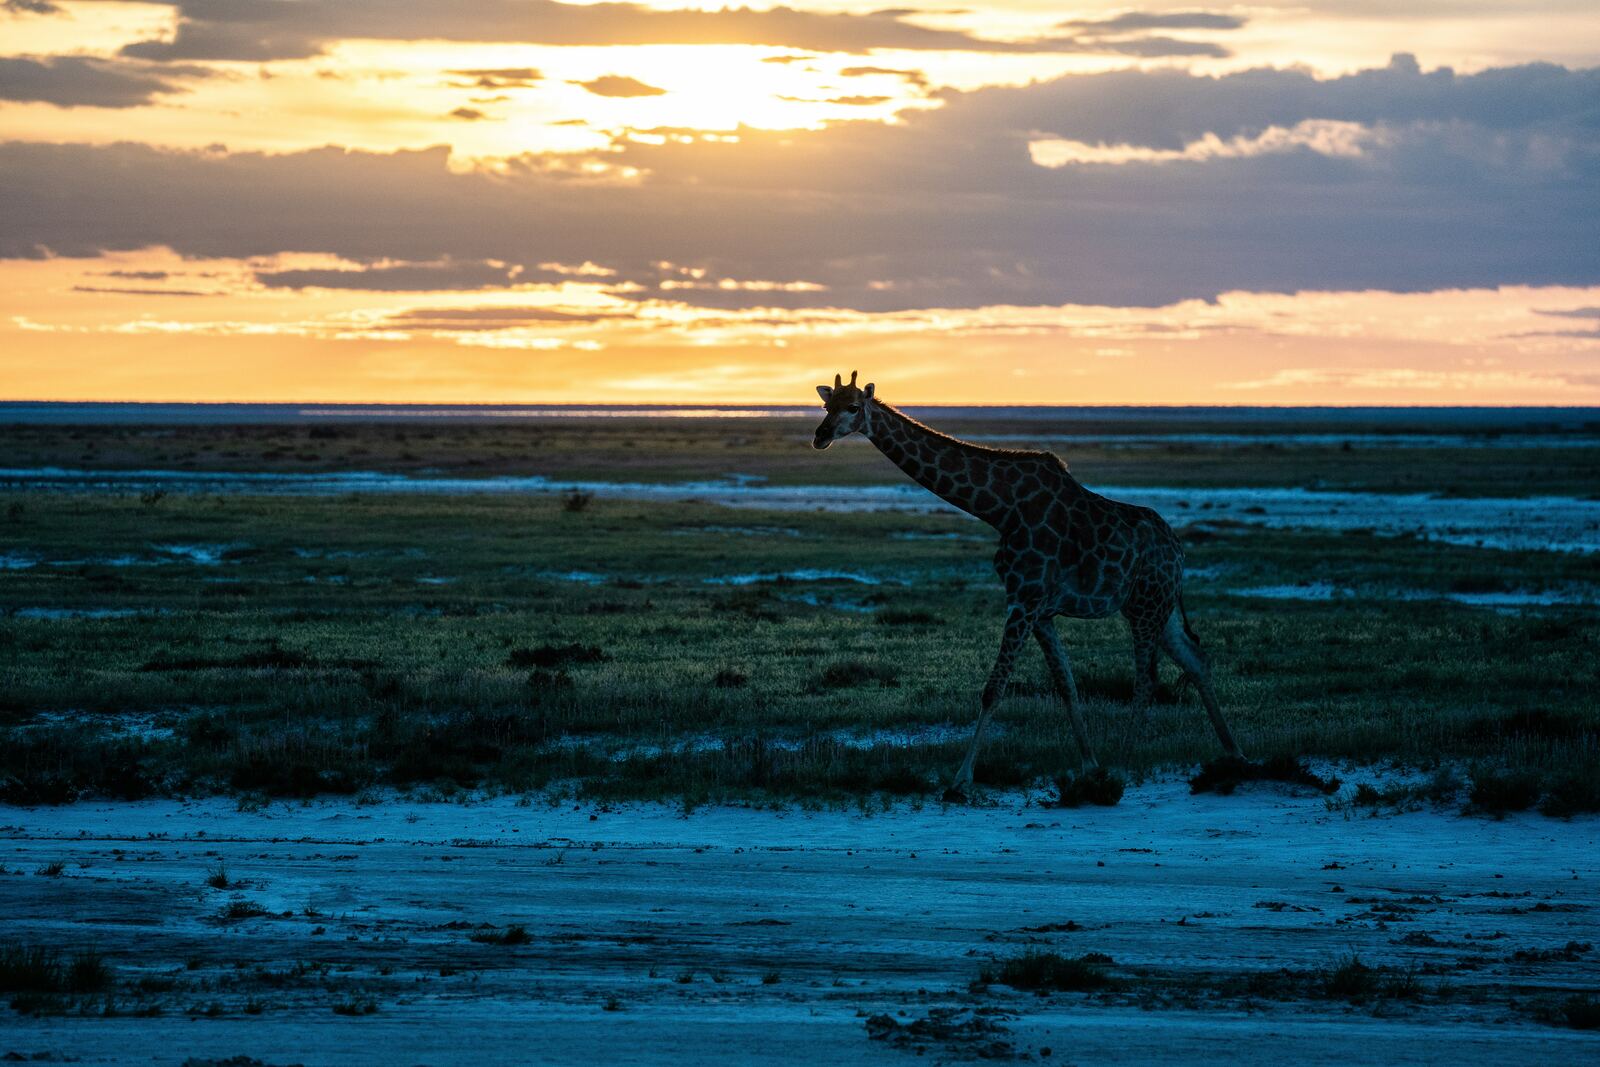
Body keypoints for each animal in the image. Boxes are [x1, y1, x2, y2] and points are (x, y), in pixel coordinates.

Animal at [811, 371, 1244, 797]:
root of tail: (1179, 550)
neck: (1001, 509)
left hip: (1146, 605)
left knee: (1146, 681)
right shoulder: (1038, 609)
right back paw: (1233, 755)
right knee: (1196, 660)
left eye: (853, 407)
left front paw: (961, 778)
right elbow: (1066, 685)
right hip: (1159, 605)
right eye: (826, 405)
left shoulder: (1023, 599)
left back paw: (1126, 762)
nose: (820, 436)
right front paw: (1090, 766)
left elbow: (994, 688)